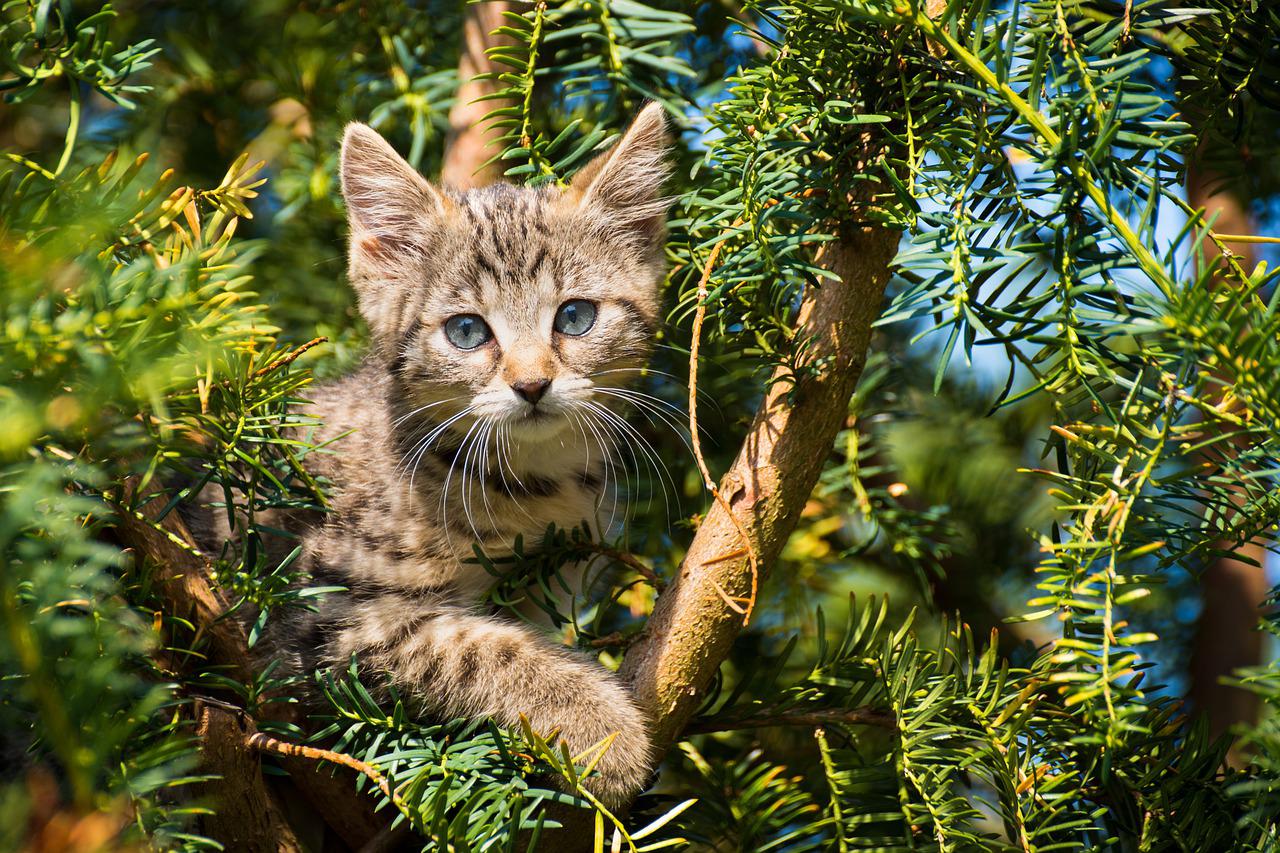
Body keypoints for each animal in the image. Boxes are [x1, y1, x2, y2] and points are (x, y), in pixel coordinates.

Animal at [270, 103, 670, 799]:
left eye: (575, 318)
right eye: (466, 331)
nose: (531, 385)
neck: (532, 487)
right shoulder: (319, 614)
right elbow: (473, 645)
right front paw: (601, 725)